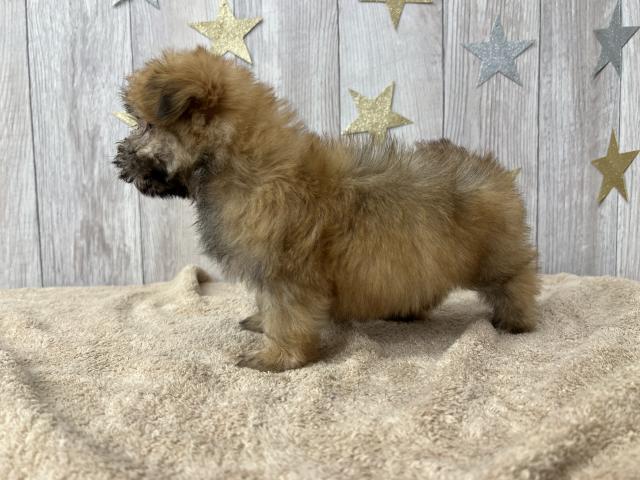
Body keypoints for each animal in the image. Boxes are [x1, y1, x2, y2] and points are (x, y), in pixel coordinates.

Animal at [114, 47, 539, 372]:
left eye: (147, 126)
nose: (119, 159)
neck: (246, 166)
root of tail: (495, 171)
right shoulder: (271, 273)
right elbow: (268, 306)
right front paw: (261, 325)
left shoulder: (286, 275)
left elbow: (286, 316)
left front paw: (278, 357)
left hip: (493, 256)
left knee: (516, 279)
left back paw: (515, 319)